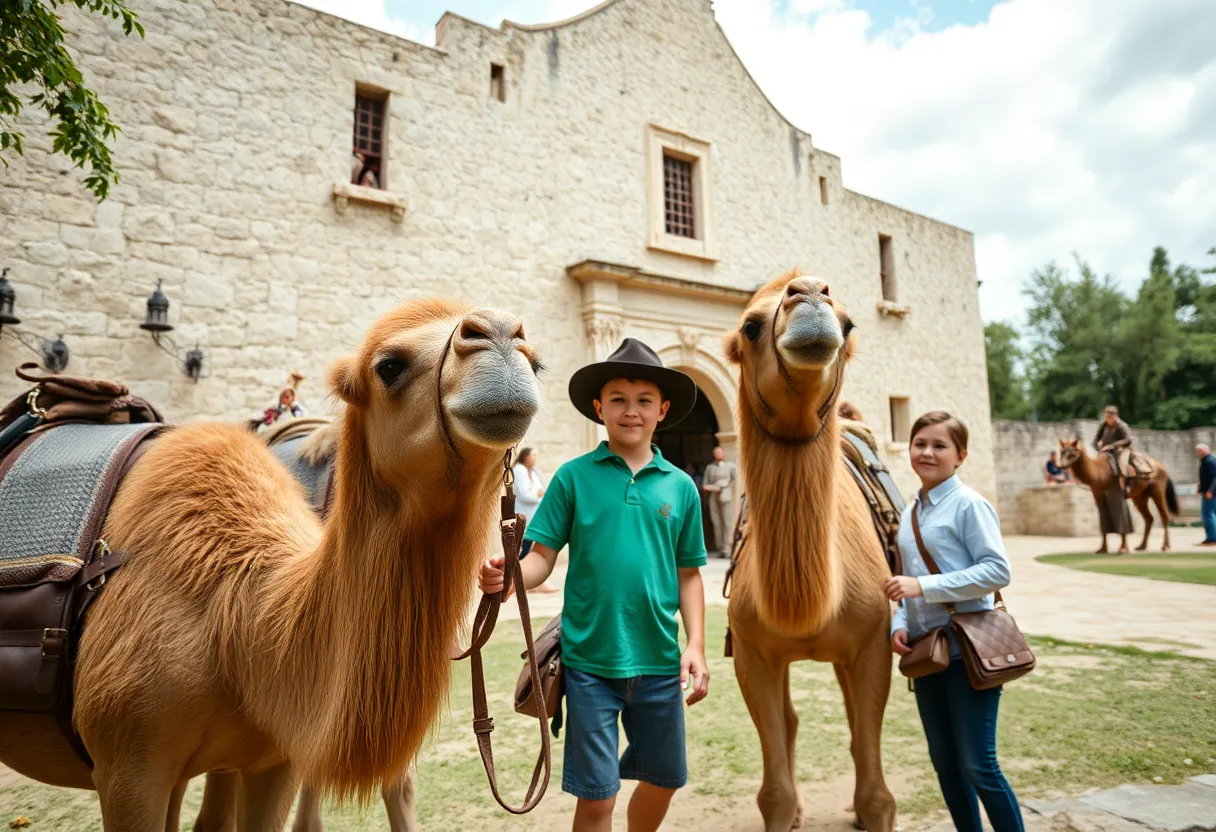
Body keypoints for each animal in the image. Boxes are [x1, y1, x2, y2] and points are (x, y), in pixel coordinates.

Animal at [0, 298, 542, 831]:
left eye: (536, 362)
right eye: (389, 366)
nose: (498, 331)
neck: (236, 614)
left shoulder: (274, 759)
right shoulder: (128, 765)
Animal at [725, 271, 896, 832]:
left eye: (849, 322)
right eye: (750, 327)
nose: (811, 293)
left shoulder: (873, 642)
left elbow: (878, 795)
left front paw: (867, 811)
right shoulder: (752, 652)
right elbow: (773, 794)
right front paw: (789, 808)